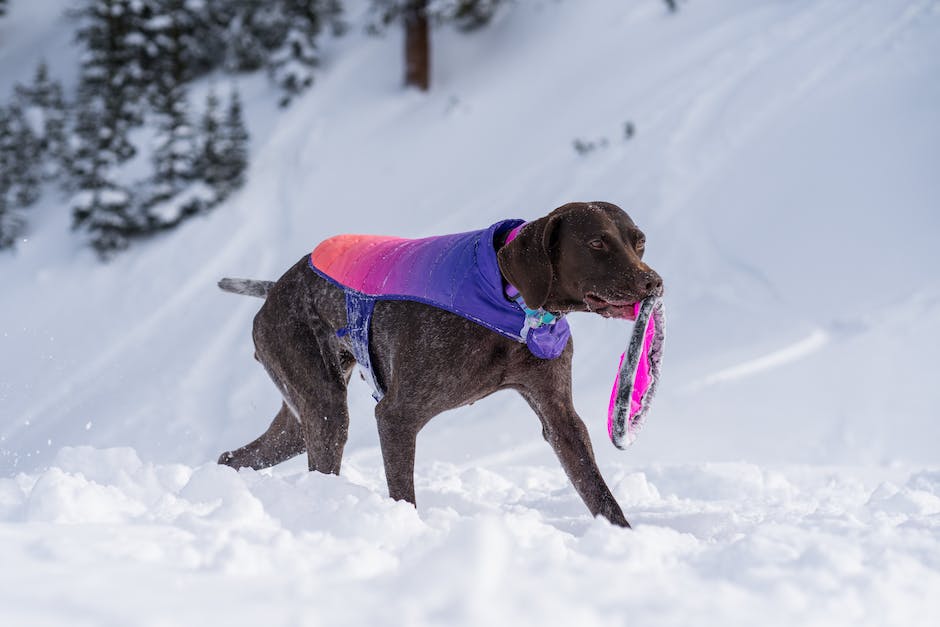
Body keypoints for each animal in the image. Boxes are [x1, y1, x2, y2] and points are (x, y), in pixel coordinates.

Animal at [218, 204, 660, 528]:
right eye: (597, 242)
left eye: (639, 243)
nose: (653, 282)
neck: (511, 302)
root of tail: (274, 288)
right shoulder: (396, 416)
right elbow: (403, 492)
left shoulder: (561, 420)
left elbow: (598, 491)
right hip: (324, 410)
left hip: (297, 424)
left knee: (235, 458)